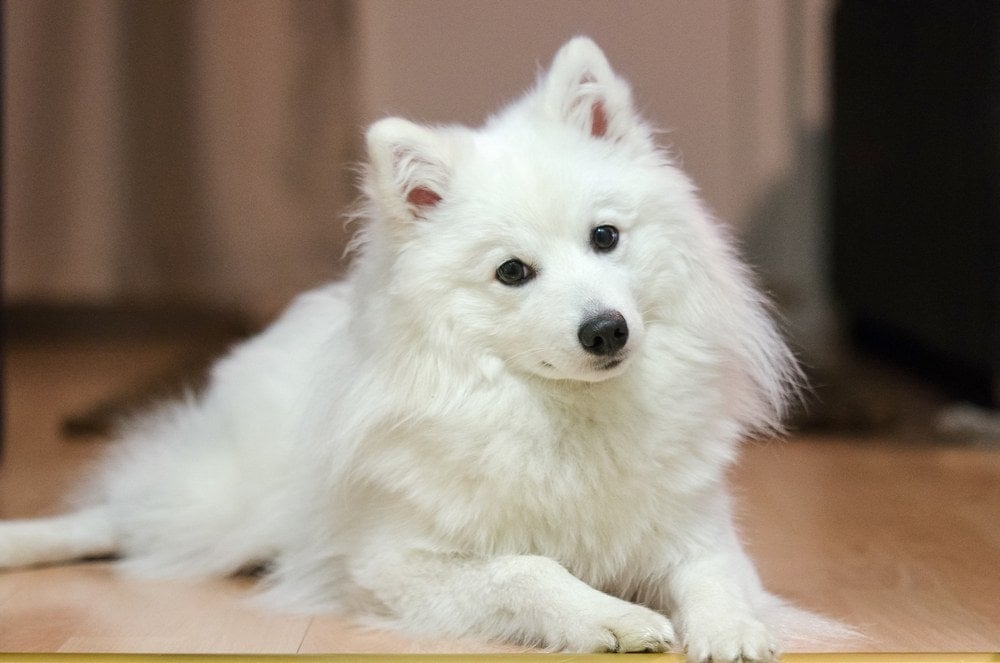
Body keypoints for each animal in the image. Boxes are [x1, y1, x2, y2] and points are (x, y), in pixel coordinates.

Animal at [0, 37, 848, 663]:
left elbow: (715, 576)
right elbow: (525, 567)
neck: (565, 417)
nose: (606, 328)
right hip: (220, 503)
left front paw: (732, 629)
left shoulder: (694, 527)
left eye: (606, 236)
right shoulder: (394, 563)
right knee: (115, 517)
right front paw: (606, 614)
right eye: (513, 271)